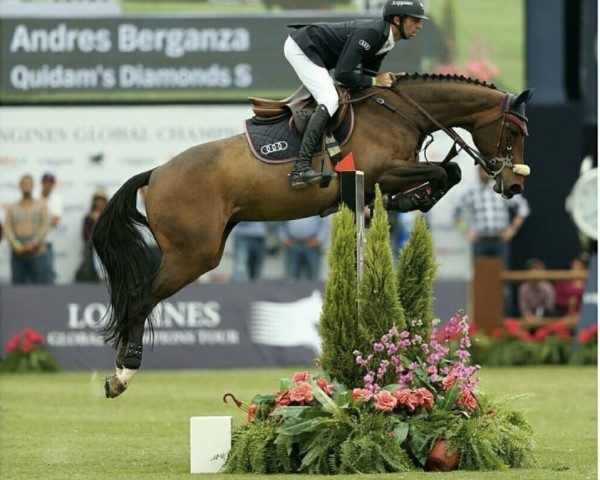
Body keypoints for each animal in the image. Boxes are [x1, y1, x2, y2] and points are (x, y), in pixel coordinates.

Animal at [91, 74, 532, 398]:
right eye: (513, 133)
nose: (513, 186)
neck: (400, 112)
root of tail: (156, 173)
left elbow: (448, 172)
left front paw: (411, 200)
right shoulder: (382, 172)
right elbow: (443, 171)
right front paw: (413, 198)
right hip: (193, 255)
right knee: (140, 299)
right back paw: (122, 375)